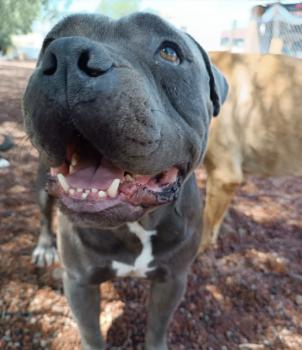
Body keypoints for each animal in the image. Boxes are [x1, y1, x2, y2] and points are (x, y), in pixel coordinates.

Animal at [23, 12, 226, 348]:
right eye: (49, 42)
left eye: (169, 52)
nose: (65, 54)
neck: (136, 226)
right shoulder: (79, 283)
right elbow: (90, 333)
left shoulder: (172, 281)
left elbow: (157, 328)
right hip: (42, 186)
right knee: (43, 214)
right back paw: (44, 247)